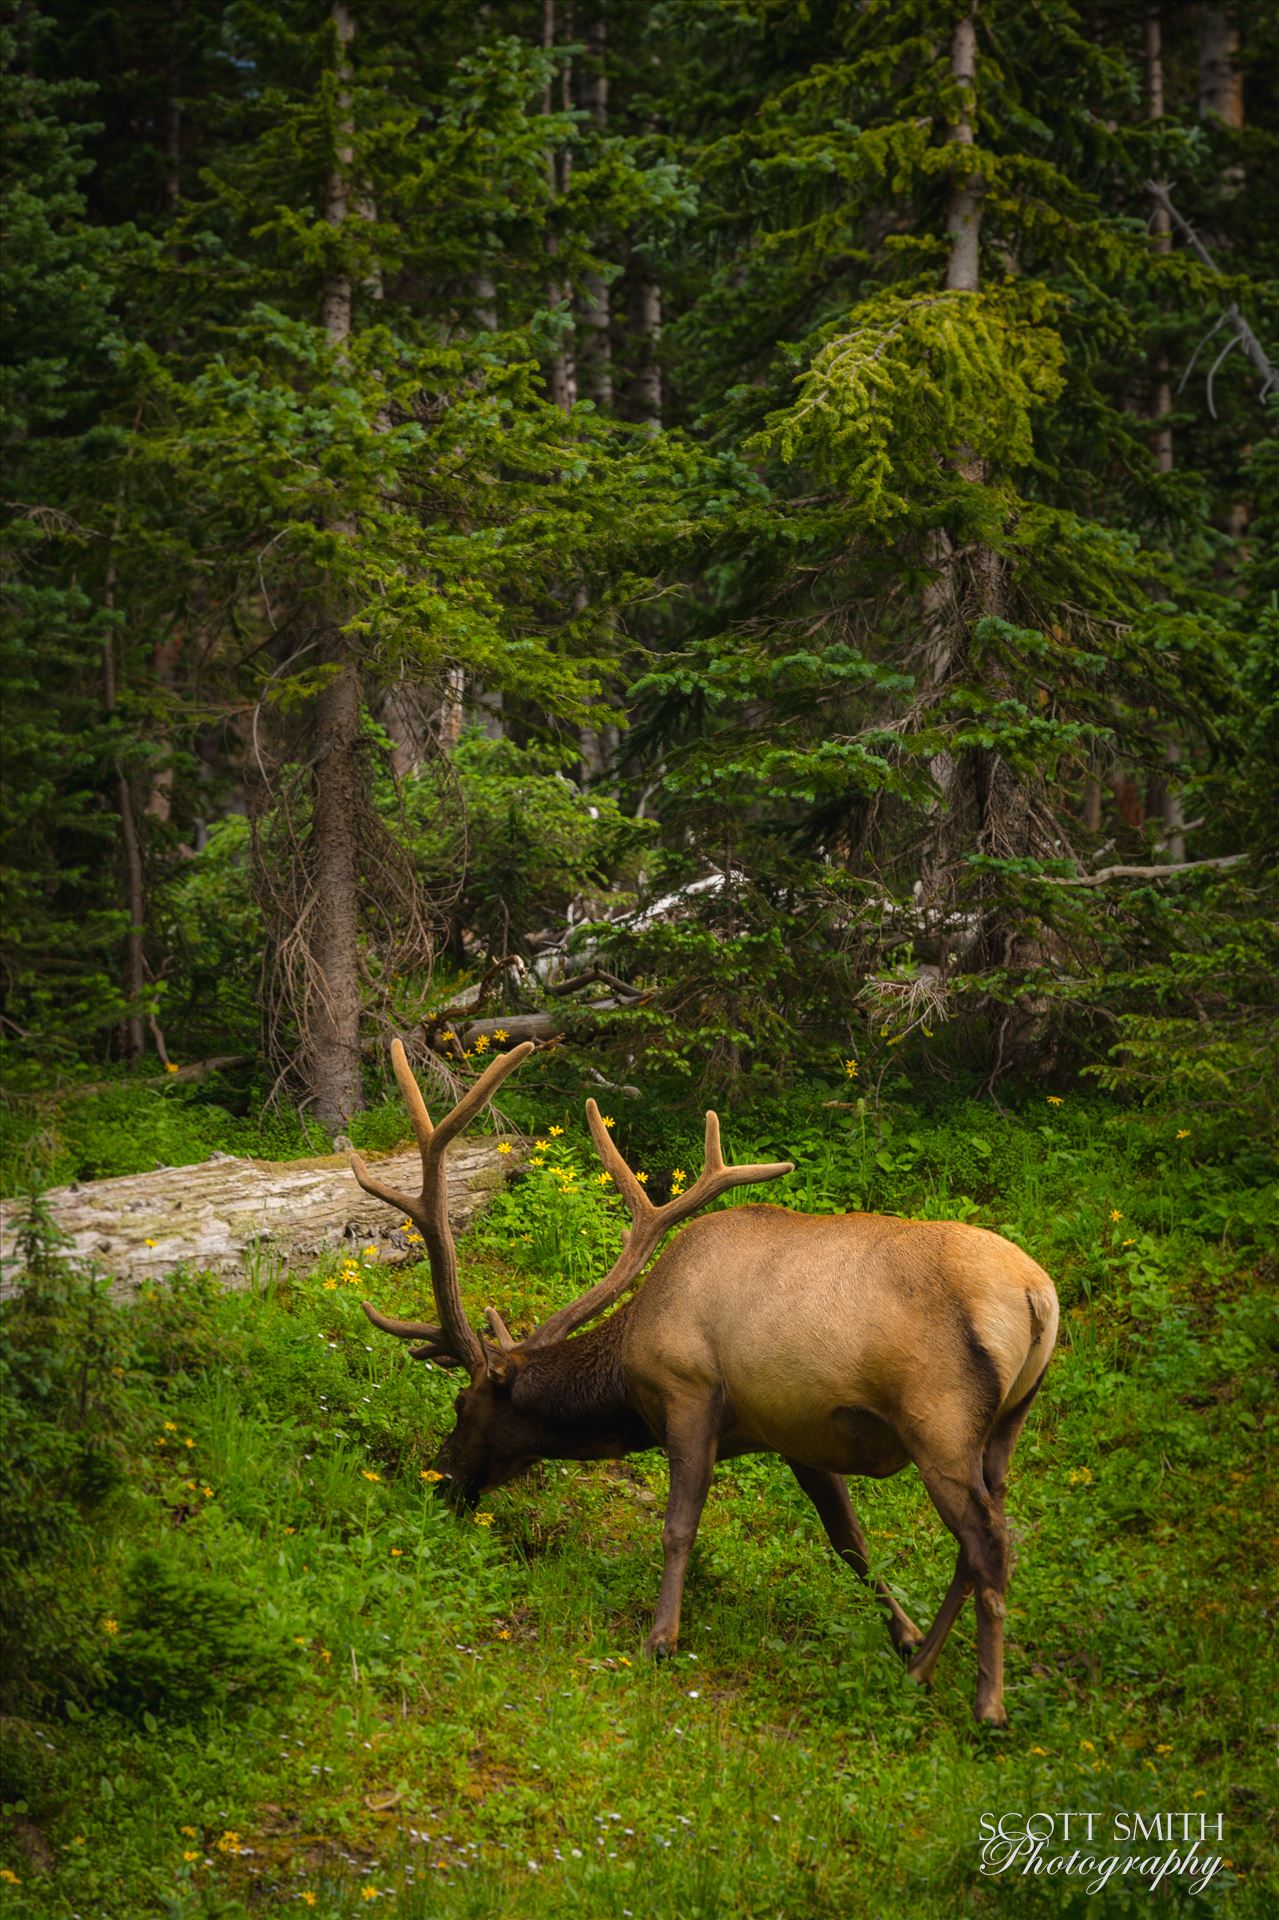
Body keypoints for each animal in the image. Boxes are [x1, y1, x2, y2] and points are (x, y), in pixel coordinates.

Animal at [349, 1044, 1052, 1735]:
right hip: (1004, 1429)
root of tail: (1037, 1295)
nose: (439, 1478)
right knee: (981, 1540)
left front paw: (660, 1639)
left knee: (989, 1542)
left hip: (939, 1420)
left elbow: (678, 1525)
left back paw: (989, 1707)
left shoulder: (688, 1393)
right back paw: (923, 1667)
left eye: (461, 1403)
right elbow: (849, 1539)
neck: (627, 1369)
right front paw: (902, 1635)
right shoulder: (795, 1433)